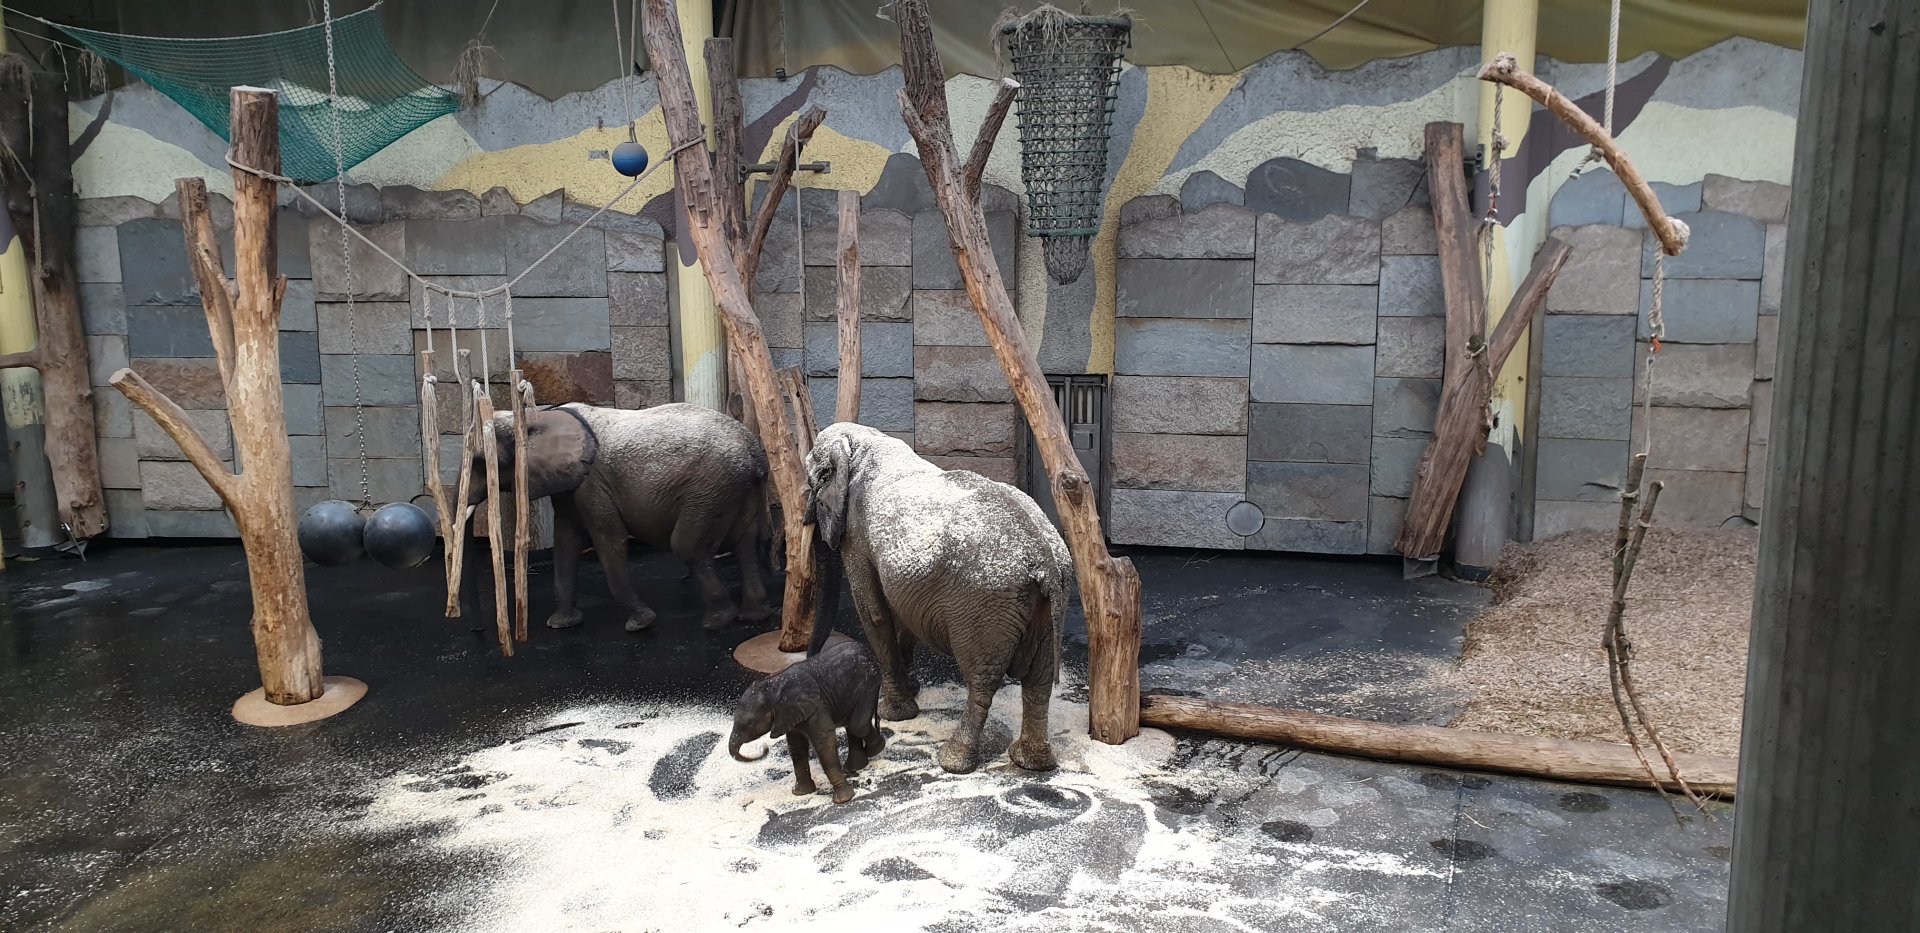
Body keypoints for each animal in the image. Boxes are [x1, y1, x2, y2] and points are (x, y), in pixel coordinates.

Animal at [468, 402, 773, 632]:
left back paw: (717, 621)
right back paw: (752, 615)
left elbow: (608, 540)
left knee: (687, 546)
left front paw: (640, 624)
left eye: (483, 463)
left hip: (711, 488)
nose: (477, 630)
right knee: (745, 543)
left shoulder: (593, 486)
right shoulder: (570, 485)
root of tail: (753, 449)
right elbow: (566, 540)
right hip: (734, 488)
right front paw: (562, 624)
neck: (538, 413)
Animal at [729, 639, 886, 804]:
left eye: (750, 724)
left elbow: (823, 742)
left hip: (869, 683)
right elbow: (796, 746)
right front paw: (800, 793)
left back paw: (875, 750)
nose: (764, 748)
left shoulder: (818, 706)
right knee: (851, 723)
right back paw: (855, 766)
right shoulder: (789, 715)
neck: (773, 687)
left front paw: (843, 800)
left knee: (857, 725)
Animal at [802, 422, 1072, 775]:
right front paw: (911, 691)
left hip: (985, 604)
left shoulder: (857, 534)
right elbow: (900, 612)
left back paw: (953, 761)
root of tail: (1045, 559)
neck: (864, 441)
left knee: (982, 682)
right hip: (1049, 603)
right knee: (1039, 682)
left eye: (813, 484)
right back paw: (1031, 762)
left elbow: (873, 611)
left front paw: (894, 713)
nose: (807, 659)